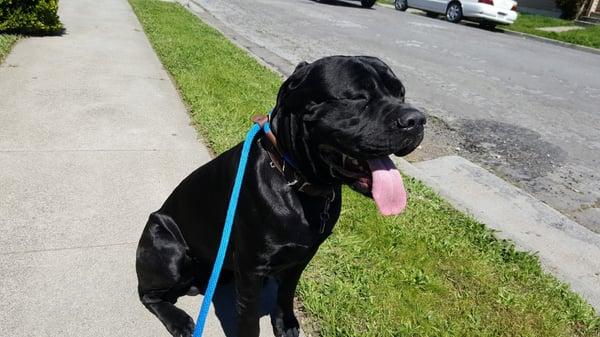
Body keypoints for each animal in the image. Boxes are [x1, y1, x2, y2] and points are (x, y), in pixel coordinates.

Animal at [136, 53, 426, 334]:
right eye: (357, 96)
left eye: (401, 93)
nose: (417, 120)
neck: (296, 179)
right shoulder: (252, 268)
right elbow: (249, 319)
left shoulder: (302, 257)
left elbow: (286, 293)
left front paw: (285, 323)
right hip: (167, 247)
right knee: (148, 295)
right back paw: (178, 319)